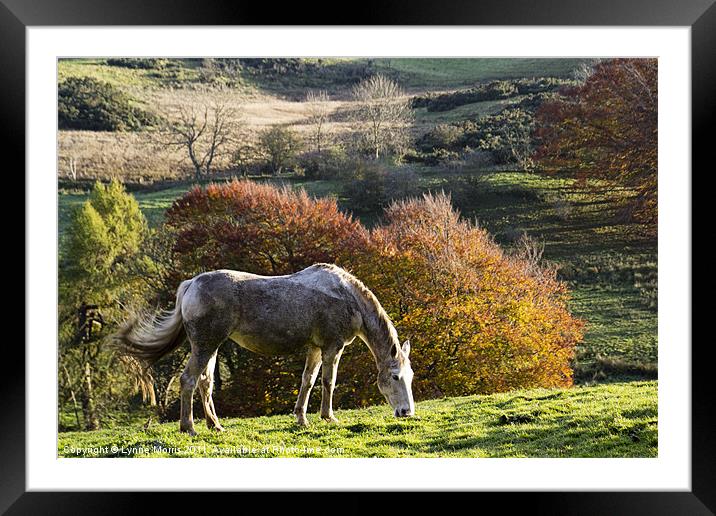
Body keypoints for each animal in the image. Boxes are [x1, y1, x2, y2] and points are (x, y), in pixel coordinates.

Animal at [112, 262, 414, 436]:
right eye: (395, 377)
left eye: (410, 377)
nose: (406, 412)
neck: (346, 296)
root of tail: (191, 284)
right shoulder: (332, 347)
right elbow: (328, 381)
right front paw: (328, 417)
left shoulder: (315, 348)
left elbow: (308, 381)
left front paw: (301, 418)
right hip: (205, 345)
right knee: (189, 380)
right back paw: (189, 427)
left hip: (211, 346)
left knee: (205, 382)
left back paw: (215, 424)